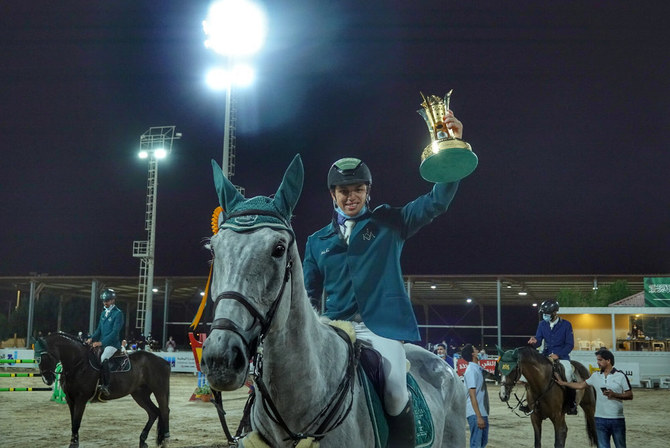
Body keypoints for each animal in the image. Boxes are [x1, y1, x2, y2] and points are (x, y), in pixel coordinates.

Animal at [34, 330, 172, 446]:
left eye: (46, 356)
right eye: (36, 359)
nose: (47, 379)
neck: (78, 364)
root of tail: (163, 361)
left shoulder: (81, 400)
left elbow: (76, 423)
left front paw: (74, 444)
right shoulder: (70, 399)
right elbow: (73, 423)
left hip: (159, 390)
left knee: (164, 411)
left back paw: (166, 438)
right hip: (139, 394)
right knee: (153, 412)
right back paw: (143, 440)